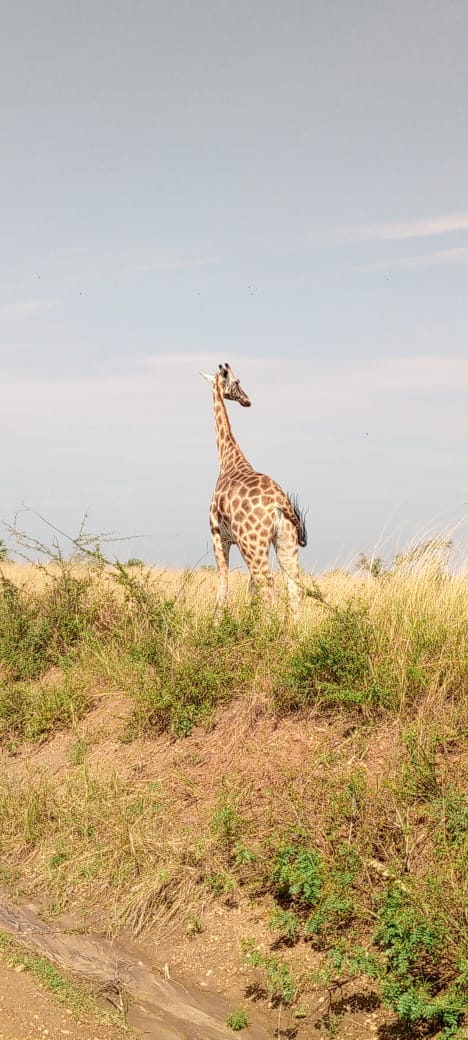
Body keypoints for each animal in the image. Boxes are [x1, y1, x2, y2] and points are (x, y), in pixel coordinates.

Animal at [202, 362, 307, 615]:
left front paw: (218, 621)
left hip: (254, 545)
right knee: (294, 589)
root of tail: (281, 502)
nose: (247, 400)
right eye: (238, 382)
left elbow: (223, 586)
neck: (229, 459)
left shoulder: (217, 535)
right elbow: (249, 592)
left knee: (268, 587)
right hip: (285, 543)